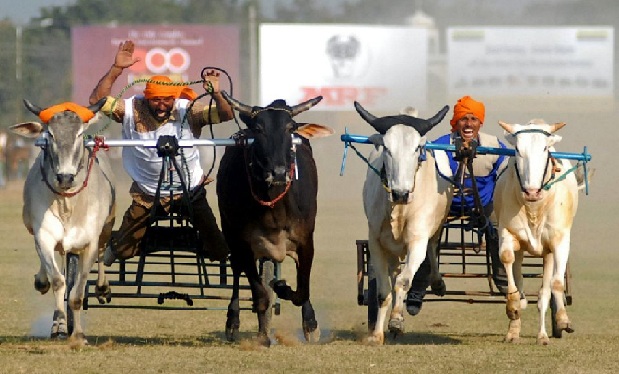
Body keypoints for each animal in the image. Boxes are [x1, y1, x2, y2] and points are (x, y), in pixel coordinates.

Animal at [10, 99, 115, 348]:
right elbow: (59, 281)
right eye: (49, 134)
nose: (65, 177)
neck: (67, 204)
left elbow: (77, 293)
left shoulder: (89, 243)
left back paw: (103, 287)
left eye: (79, 134)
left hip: (107, 227)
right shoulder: (43, 236)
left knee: (102, 254)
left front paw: (79, 335)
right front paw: (59, 325)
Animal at [217, 93, 324, 344]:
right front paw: (261, 334)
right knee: (237, 271)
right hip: (229, 232)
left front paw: (309, 321)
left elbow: (301, 290)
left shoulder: (306, 240)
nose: (279, 172)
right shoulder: (242, 243)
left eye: (290, 127)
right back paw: (233, 321)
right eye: (259, 129)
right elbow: (262, 295)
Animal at [356, 102, 452, 344]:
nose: (400, 193)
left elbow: (403, 281)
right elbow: (384, 290)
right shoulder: (376, 243)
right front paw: (377, 334)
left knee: (432, 249)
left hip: (435, 228)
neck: (399, 209)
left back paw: (437, 282)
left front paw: (397, 321)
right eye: (386, 148)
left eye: (417, 148)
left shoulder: (417, 241)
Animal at [494, 119, 580, 344]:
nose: (532, 192)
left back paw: (544, 334)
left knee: (545, 293)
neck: (535, 207)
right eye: (517, 149)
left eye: (545, 148)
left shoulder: (560, 241)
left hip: (547, 252)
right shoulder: (508, 233)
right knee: (520, 279)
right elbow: (507, 261)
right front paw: (513, 307)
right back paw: (513, 331)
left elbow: (555, 284)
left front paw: (561, 320)